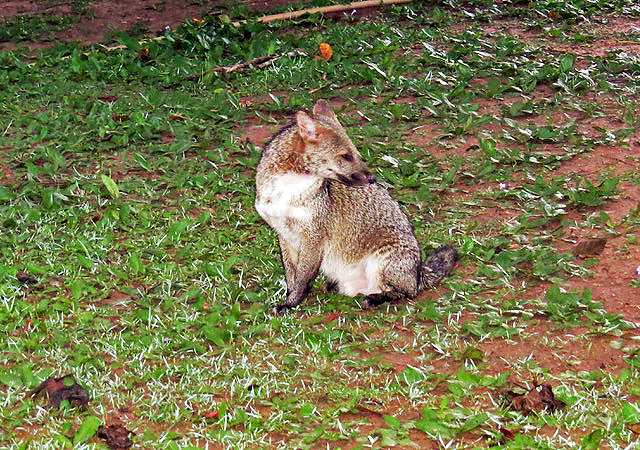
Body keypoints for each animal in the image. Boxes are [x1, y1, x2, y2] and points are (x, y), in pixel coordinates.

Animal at [255, 99, 457, 314]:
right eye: (346, 156)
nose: (372, 179)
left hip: (382, 262)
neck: (285, 192)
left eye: (357, 154)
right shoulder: (284, 235)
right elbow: (291, 276)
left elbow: (302, 278)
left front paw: (291, 303)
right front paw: (290, 298)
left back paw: (377, 298)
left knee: (407, 292)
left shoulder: (313, 236)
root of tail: (419, 273)